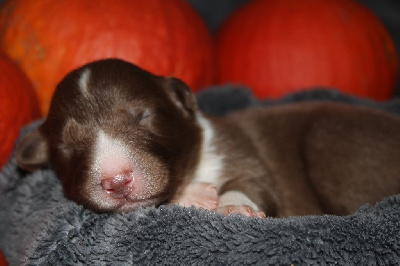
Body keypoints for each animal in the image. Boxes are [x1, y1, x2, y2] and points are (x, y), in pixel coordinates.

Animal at [17, 57, 400, 216]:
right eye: (66, 146)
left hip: (330, 143)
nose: (117, 181)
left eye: (142, 116)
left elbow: (251, 182)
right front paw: (194, 196)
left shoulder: (241, 153)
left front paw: (231, 207)